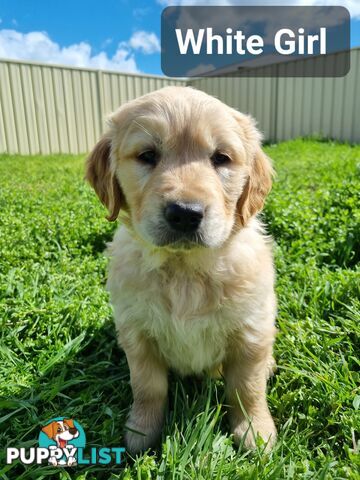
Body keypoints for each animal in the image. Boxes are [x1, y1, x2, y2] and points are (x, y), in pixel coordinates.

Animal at [86, 85, 278, 454]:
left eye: (221, 158)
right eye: (148, 155)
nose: (186, 213)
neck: (184, 270)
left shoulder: (251, 332)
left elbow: (246, 388)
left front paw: (255, 431)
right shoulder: (137, 334)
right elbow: (148, 387)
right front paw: (141, 431)